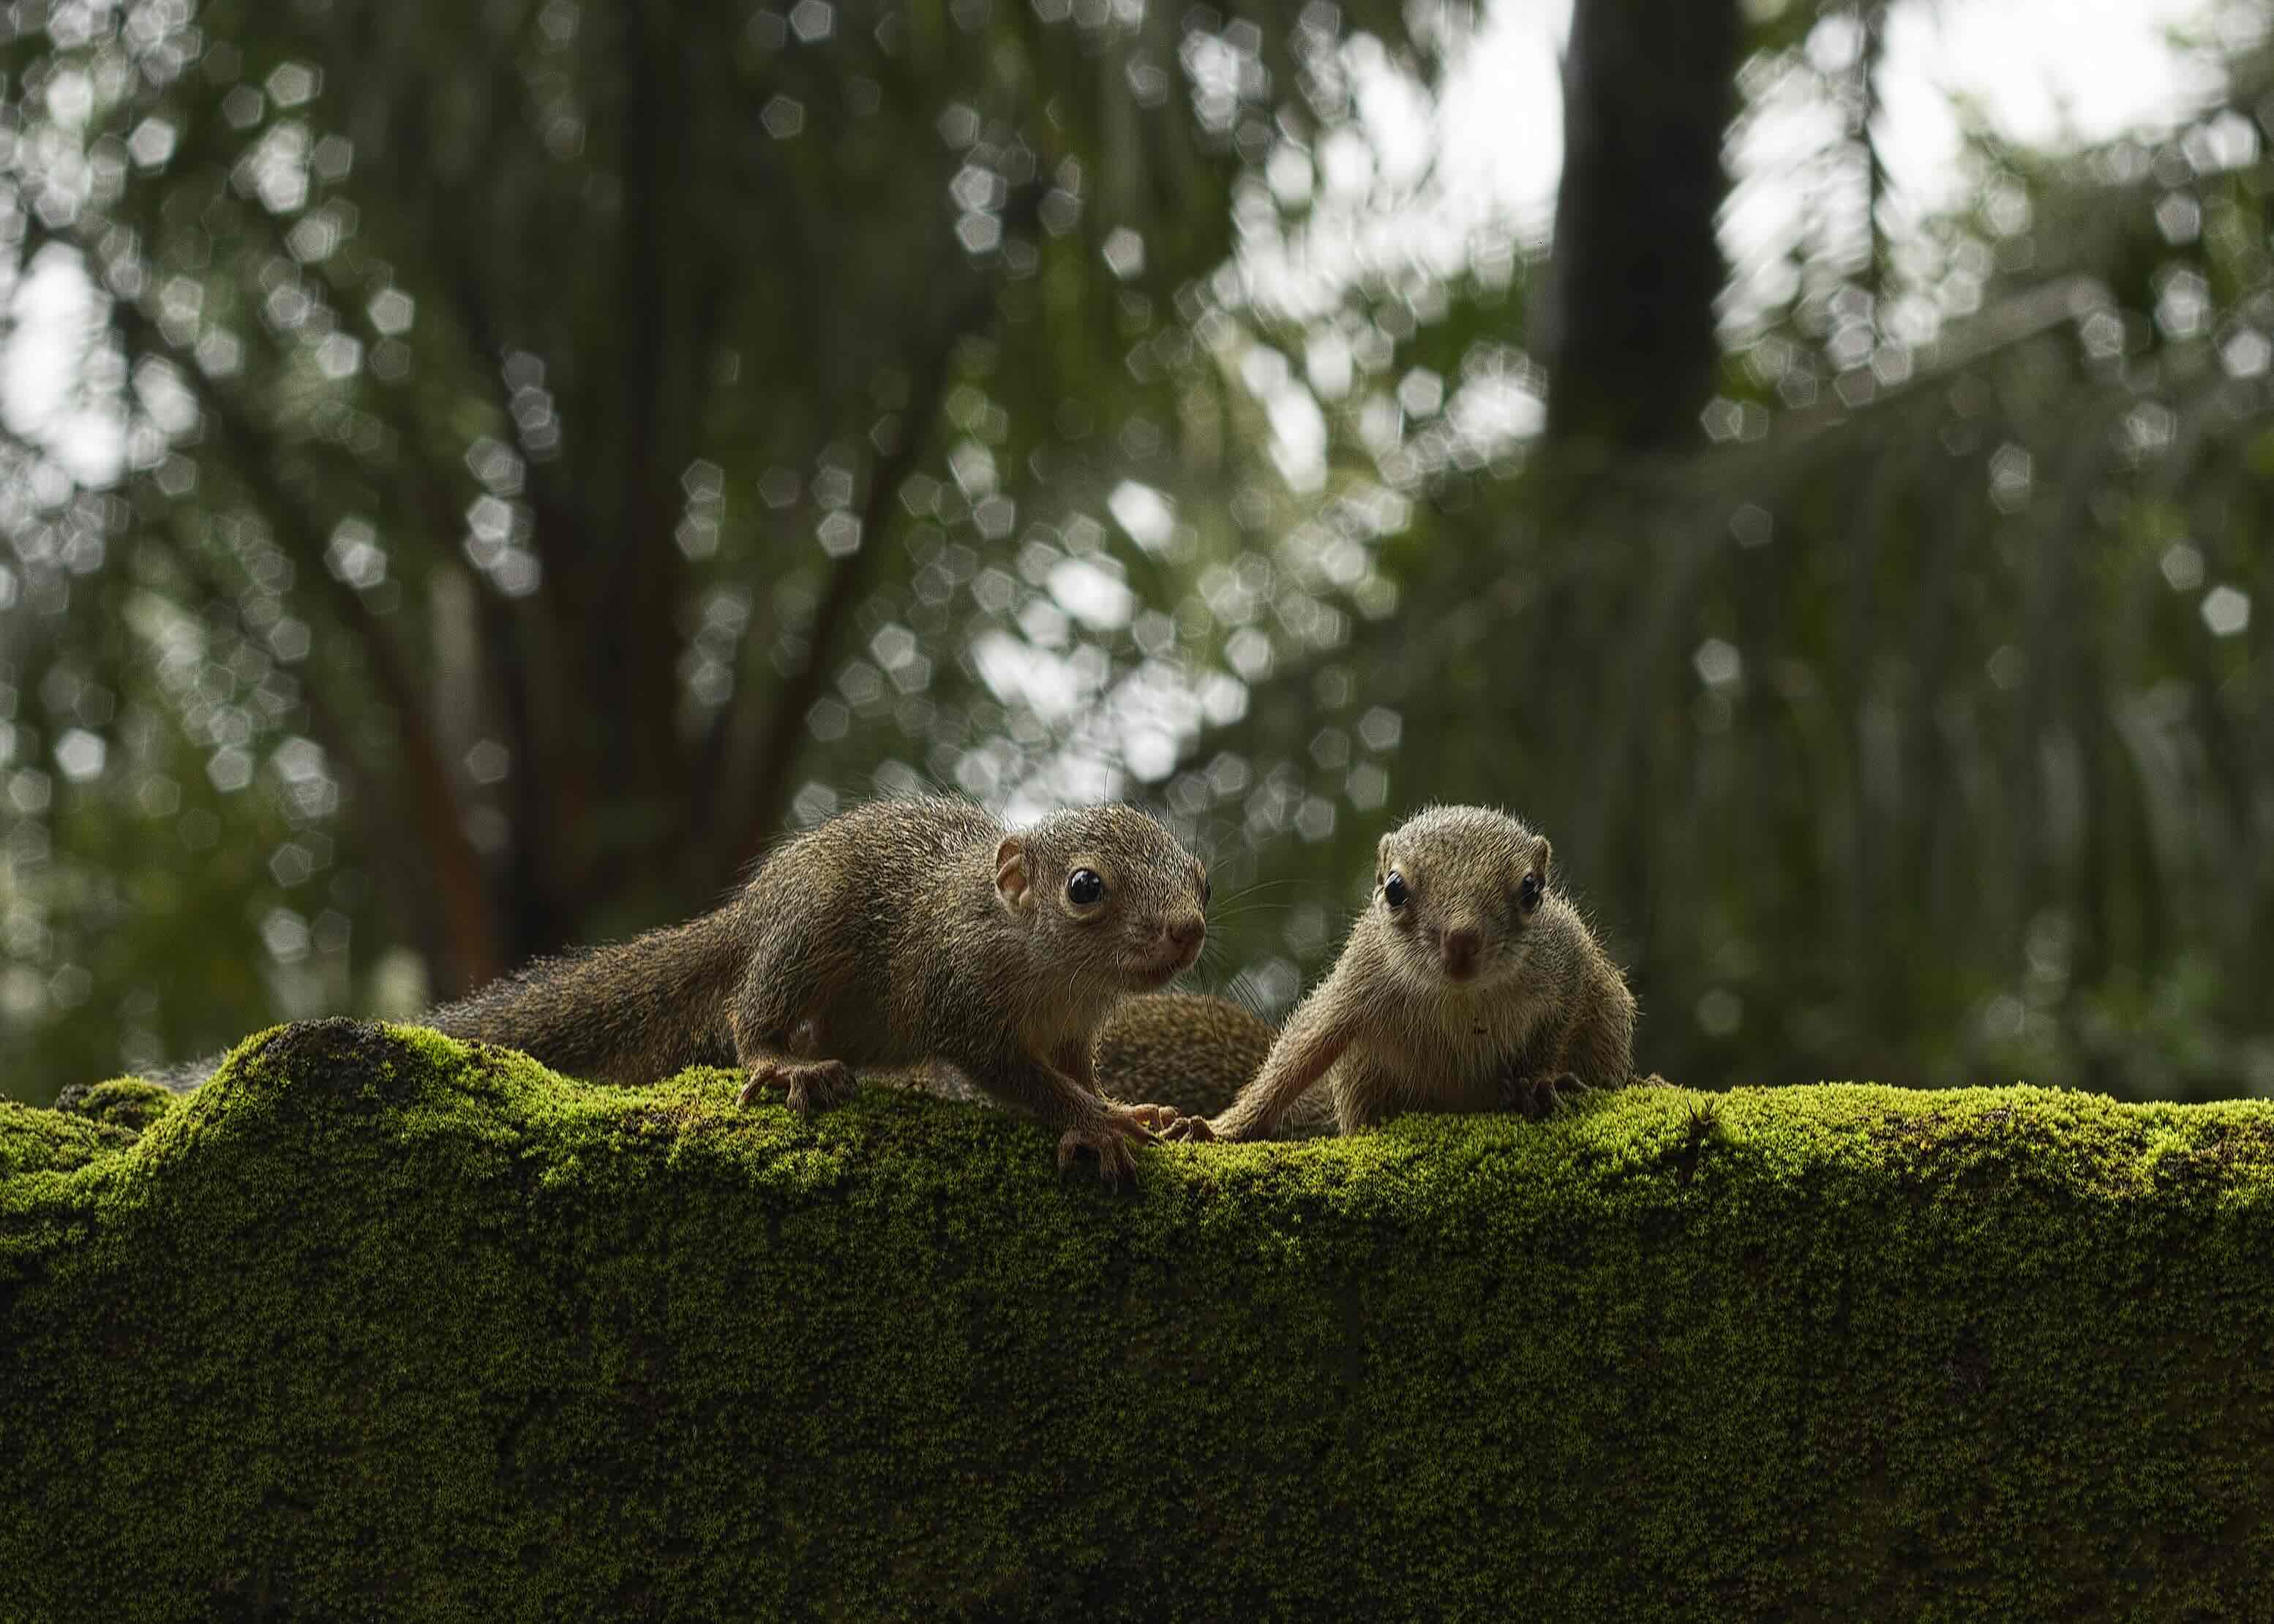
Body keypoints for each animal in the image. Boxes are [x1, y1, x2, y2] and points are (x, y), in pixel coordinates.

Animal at [426, 796, 1212, 1182]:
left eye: (1202, 880)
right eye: (1085, 887)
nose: (1188, 930)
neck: (1055, 972)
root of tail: (755, 908)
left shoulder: (1077, 1026)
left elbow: (1076, 1068)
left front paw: (1123, 1105)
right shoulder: (955, 992)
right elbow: (1017, 1074)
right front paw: (1094, 1122)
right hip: (809, 929)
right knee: (752, 1014)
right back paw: (780, 1061)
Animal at [1164, 804, 1637, 1143]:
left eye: (1531, 891)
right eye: (1394, 888)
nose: (1461, 941)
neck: (1460, 998)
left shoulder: (1567, 963)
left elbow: (1557, 1026)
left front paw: (1538, 1081)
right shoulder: (1359, 980)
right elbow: (1298, 1056)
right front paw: (1220, 1128)